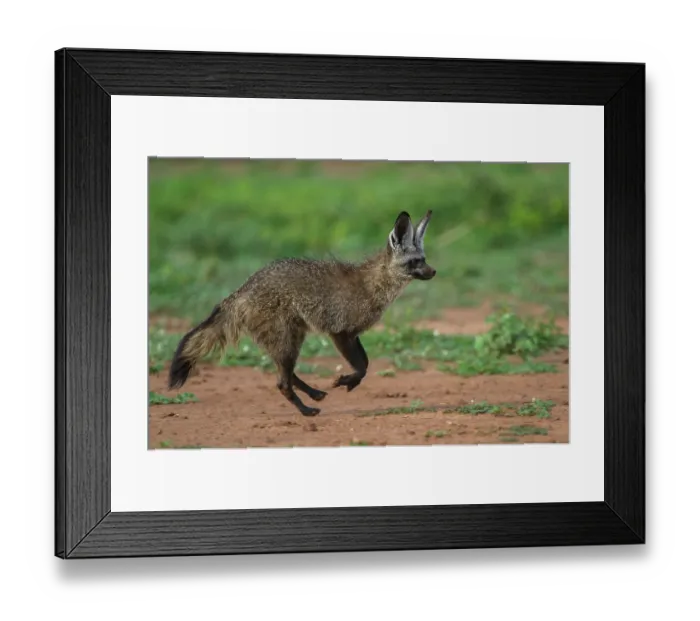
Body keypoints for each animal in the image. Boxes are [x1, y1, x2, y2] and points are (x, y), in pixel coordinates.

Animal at [167, 210, 436, 416]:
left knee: (287, 374)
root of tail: (241, 290)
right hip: (287, 341)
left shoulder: (352, 334)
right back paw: (306, 411)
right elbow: (362, 366)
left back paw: (314, 394)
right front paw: (347, 381)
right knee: (282, 383)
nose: (434, 272)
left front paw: (349, 382)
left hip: (291, 339)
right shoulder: (340, 332)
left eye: (424, 259)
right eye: (415, 262)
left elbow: (366, 364)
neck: (373, 284)